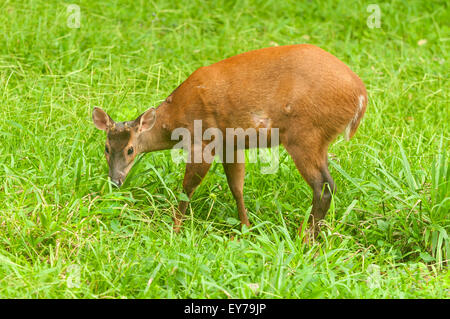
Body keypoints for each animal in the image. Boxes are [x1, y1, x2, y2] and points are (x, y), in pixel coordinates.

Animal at [91, 44, 366, 238]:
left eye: (130, 149)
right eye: (106, 148)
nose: (115, 180)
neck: (174, 119)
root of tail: (361, 97)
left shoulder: (203, 140)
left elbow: (187, 188)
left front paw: (175, 229)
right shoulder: (230, 144)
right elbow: (237, 187)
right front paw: (246, 228)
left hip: (306, 134)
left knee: (324, 186)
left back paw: (304, 238)